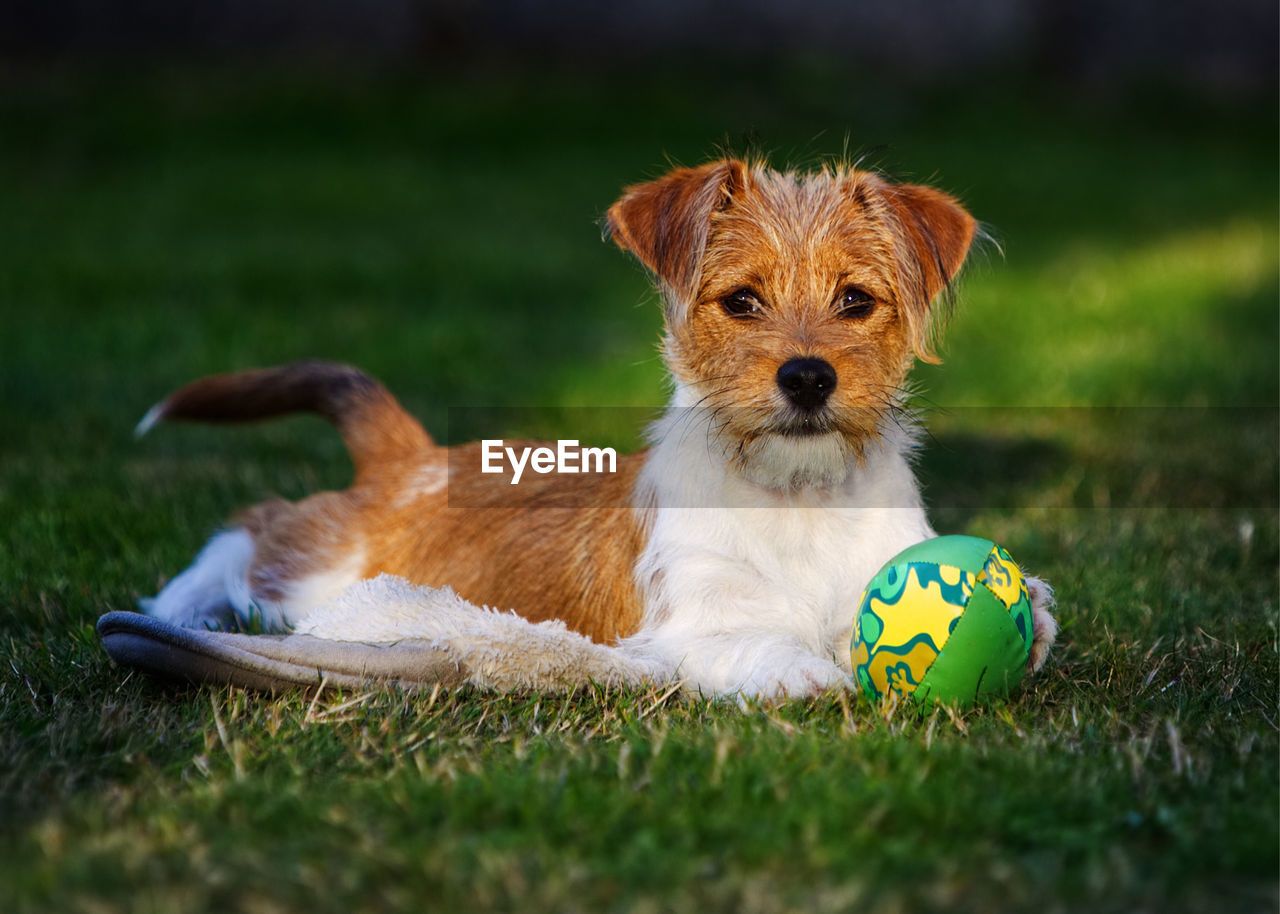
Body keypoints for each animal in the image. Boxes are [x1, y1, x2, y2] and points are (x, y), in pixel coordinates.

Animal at [137, 158, 1059, 696]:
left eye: (857, 301)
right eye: (742, 301)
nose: (807, 377)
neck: (798, 498)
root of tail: (413, 458)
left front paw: (1035, 613)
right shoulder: (687, 624)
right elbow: (755, 643)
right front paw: (805, 672)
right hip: (315, 573)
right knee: (253, 531)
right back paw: (176, 610)